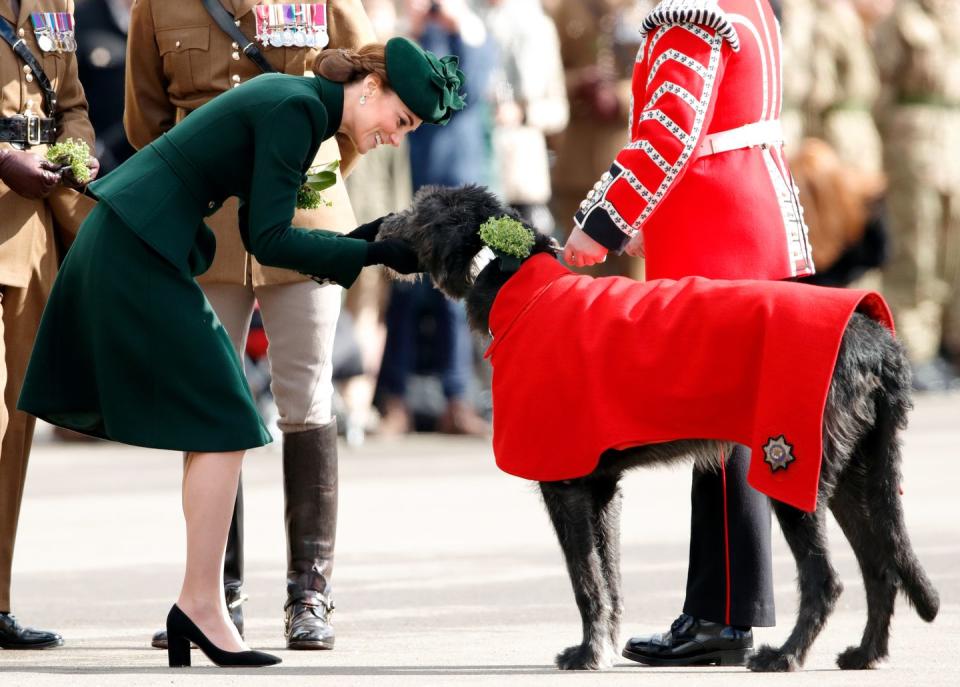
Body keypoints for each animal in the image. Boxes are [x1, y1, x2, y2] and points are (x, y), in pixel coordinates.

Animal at [376, 183, 936, 672]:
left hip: (792, 468)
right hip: (851, 475)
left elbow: (585, 581)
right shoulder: (602, 488)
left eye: (418, 209)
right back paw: (864, 654)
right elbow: (609, 578)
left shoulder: (564, 484)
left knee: (827, 580)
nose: (381, 225)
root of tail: (878, 342)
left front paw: (586, 654)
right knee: (881, 569)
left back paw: (784, 657)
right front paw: (602, 645)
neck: (516, 281)